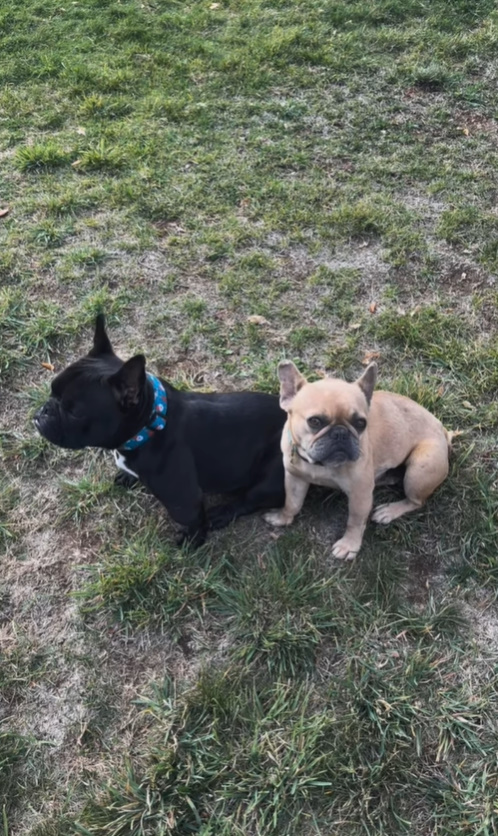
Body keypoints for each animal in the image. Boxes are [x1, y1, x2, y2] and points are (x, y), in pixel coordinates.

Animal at [34, 316, 284, 548]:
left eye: (74, 412)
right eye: (52, 390)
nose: (45, 409)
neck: (148, 426)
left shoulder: (185, 499)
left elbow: (194, 521)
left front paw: (193, 541)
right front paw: (127, 475)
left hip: (270, 477)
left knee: (250, 500)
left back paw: (223, 512)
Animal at [264, 362, 452, 560]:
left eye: (361, 423)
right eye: (314, 421)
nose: (340, 433)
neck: (321, 466)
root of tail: (442, 430)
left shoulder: (359, 494)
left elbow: (354, 521)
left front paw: (349, 545)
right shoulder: (295, 478)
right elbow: (292, 502)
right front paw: (282, 518)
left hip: (418, 472)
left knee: (416, 501)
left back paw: (389, 510)